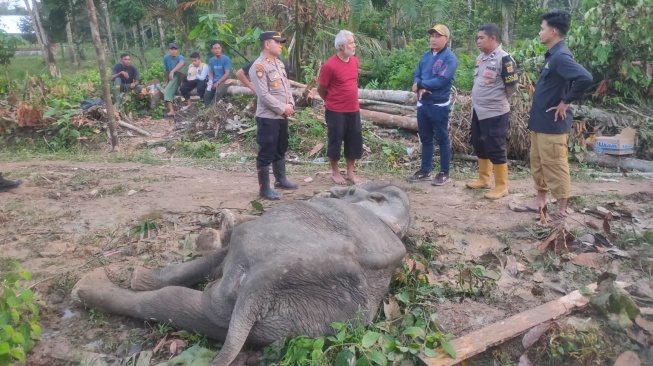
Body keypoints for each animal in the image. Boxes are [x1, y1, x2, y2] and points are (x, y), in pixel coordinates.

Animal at [71, 183, 408, 366]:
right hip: (293, 318)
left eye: (351, 190)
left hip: (259, 256)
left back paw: (87, 284)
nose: (329, 190)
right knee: (194, 310)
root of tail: (265, 285)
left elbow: (220, 250)